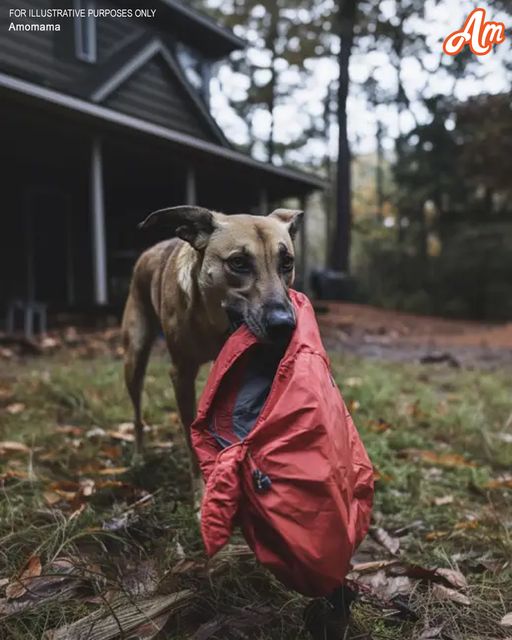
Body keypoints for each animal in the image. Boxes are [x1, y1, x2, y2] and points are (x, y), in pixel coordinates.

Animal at [121, 208, 302, 488]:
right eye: (238, 262)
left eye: (287, 262)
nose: (284, 326)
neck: (214, 322)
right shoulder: (181, 374)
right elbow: (189, 433)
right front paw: (200, 489)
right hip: (135, 357)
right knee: (137, 414)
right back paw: (139, 457)